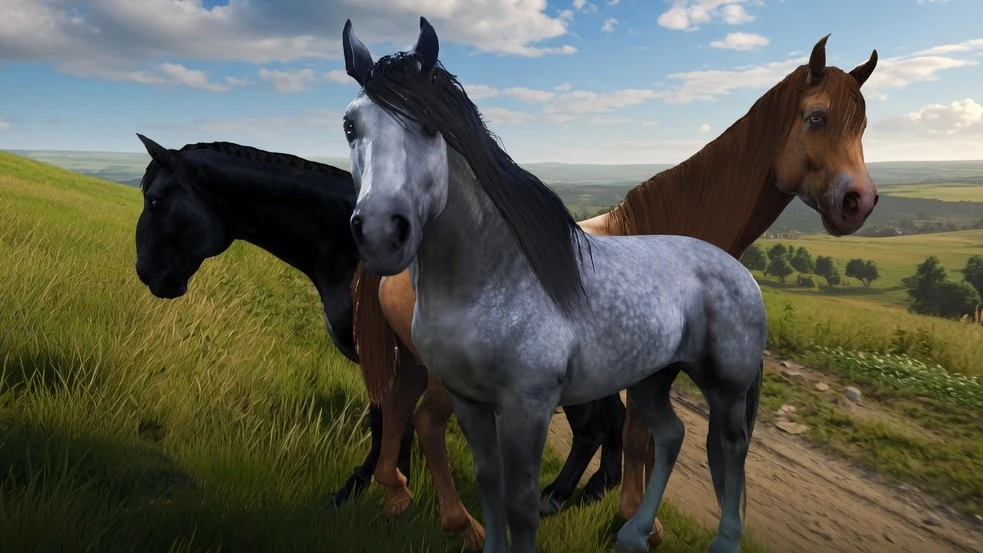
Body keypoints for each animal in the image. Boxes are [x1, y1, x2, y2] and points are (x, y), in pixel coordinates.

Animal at [130, 136, 633, 551]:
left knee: (593, 426)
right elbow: (394, 419)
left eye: (156, 200)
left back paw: (559, 497)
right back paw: (588, 491)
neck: (348, 249)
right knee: (607, 420)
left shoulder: (389, 357)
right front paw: (392, 490)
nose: (148, 273)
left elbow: (387, 419)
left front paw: (366, 490)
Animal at [362, 27, 879, 544]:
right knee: (427, 422)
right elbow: (635, 436)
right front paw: (633, 515)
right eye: (817, 118)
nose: (859, 201)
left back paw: (396, 491)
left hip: (416, 362)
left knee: (398, 404)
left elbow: (641, 437)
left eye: (863, 127)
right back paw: (460, 520)